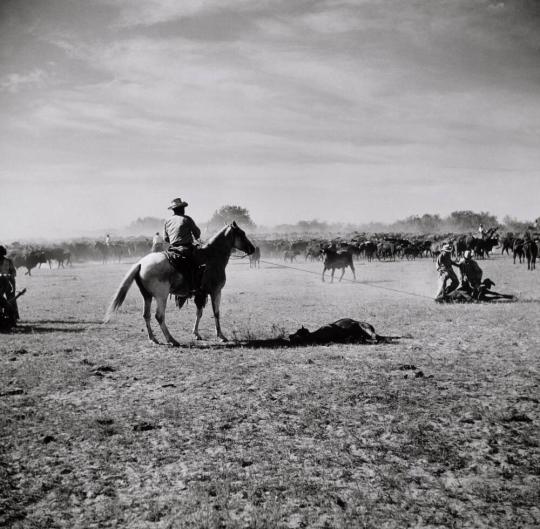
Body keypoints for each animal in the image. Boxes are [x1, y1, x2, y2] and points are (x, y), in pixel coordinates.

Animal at [104, 223, 255, 346]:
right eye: (242, 233)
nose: (252, 249)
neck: (212, 256)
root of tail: (141, 263)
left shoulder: (200, 294)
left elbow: (199, 313)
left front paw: (196, 333)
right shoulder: (216, 291)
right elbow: (216, 313)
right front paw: (221, 336)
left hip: (147, 296)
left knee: (146, 315)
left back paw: (153, 338)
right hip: (161, 296)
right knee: (159, 316)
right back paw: (171, 339)